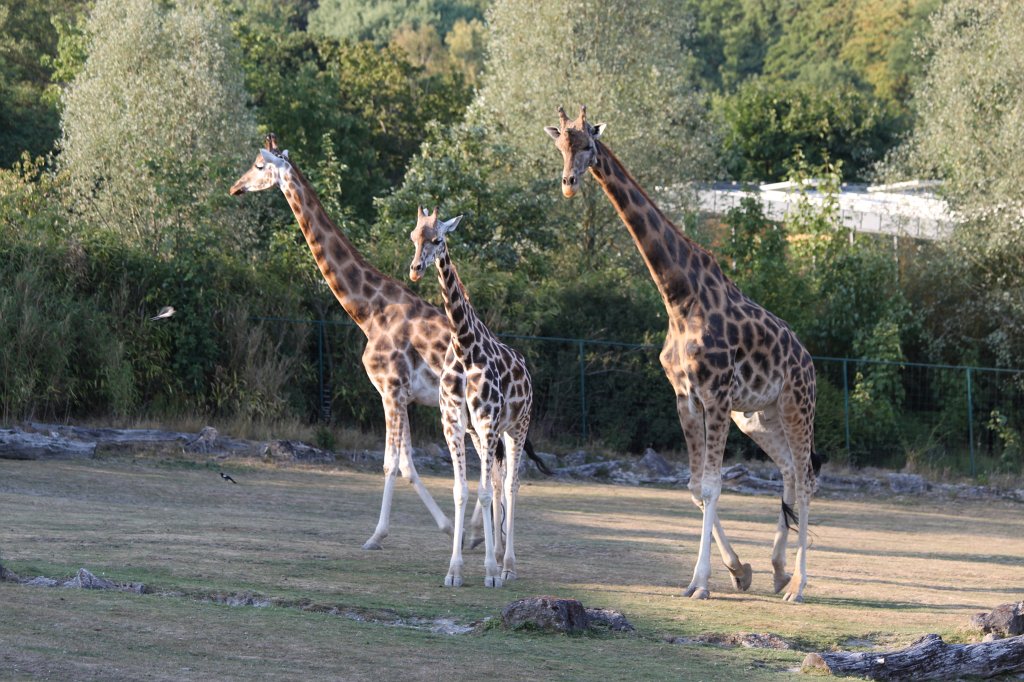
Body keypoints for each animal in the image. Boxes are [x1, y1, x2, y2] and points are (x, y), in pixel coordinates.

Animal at [229, 134, 455, 551]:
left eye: (258, 164)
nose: (235, 187)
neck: (369, 312)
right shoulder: (403, 396)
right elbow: (408, 464)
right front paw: (450, 529)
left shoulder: (391, 390)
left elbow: (392, 463)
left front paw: (376, 536)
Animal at [408, 207, 534, 588]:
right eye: (413, 237)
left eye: (438, 239)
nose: (415, 269)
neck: (464, 348)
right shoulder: (454, 424)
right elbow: (462, 491)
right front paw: (455, 571)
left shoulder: (487, 420)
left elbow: (486, 491)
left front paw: (491, 573)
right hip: (481, 436)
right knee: (494, 483)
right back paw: (496, 556)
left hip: (516, 427)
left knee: (509, 485)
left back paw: (507, 566)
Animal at [545, 106, 819, 602]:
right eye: (559, 146)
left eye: (588, 144)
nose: (569, 183)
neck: (677, 296)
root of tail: (808, 360)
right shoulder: (686, 398)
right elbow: (694, 487)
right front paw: (738, 571)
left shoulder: (716, 396)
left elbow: (711, 486)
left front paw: (703, 583)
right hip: (758, 416)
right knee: (790, 470)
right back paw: (778, 571)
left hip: (795, 405)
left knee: (806, 478)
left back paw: (799, 586)